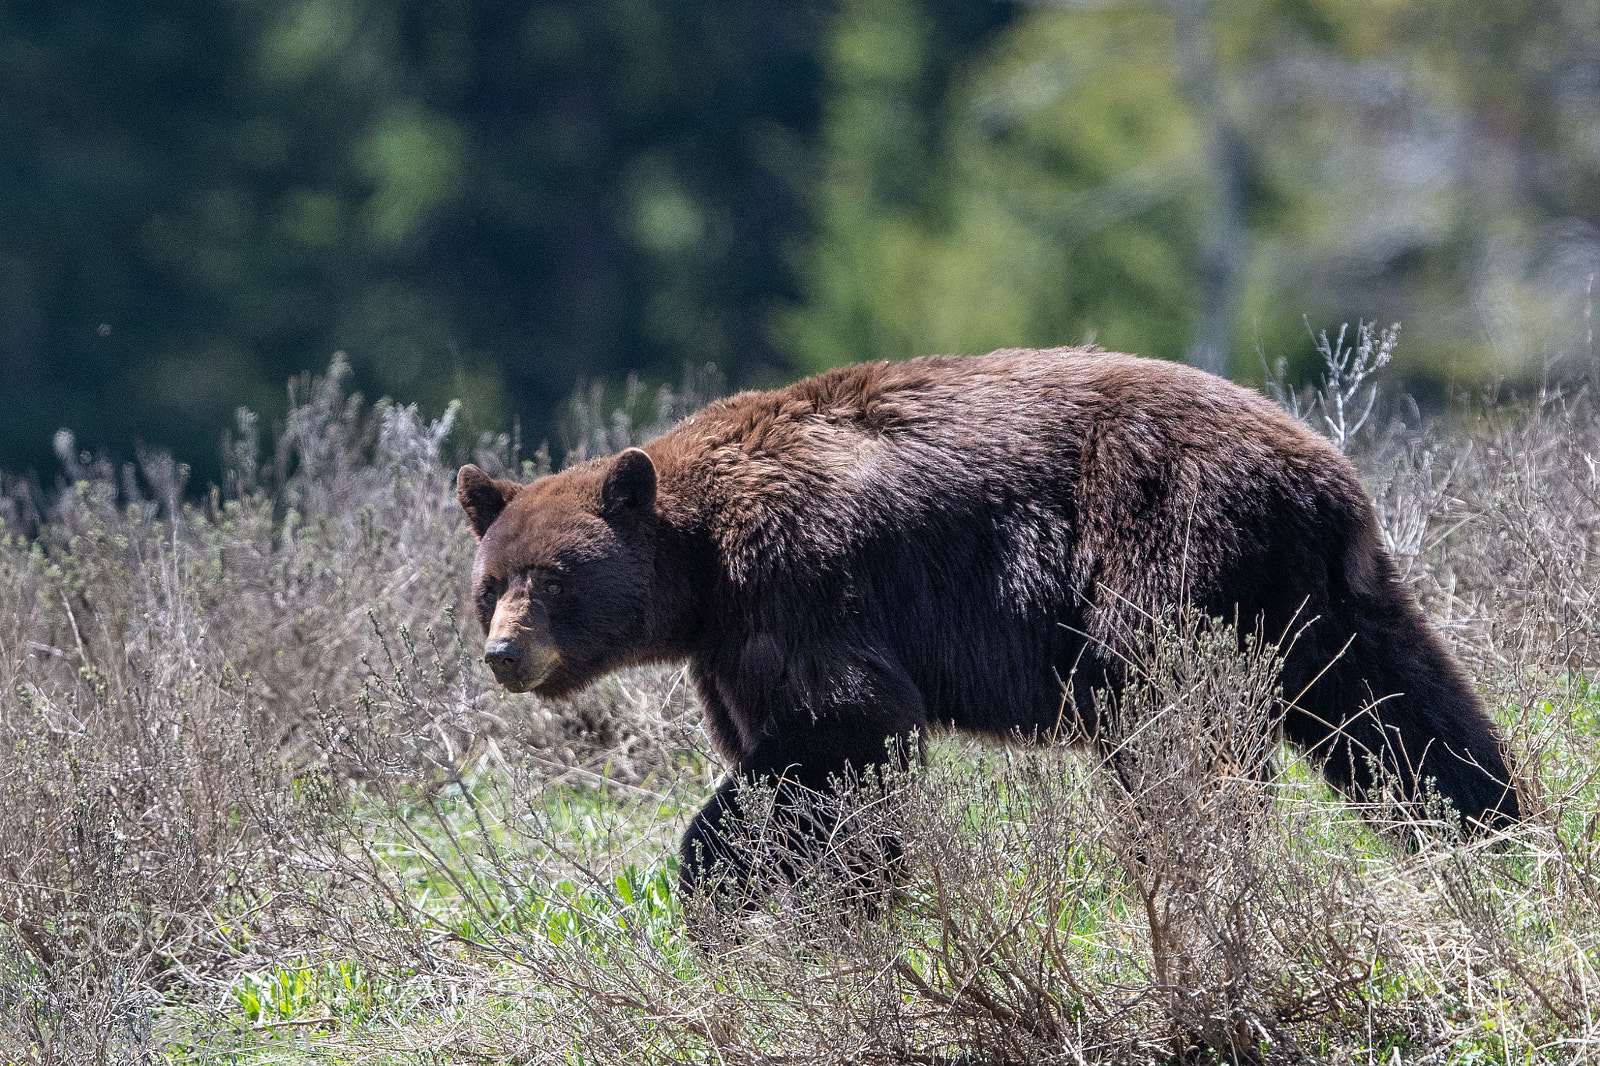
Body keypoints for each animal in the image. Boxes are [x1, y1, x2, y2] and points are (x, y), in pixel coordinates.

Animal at [456, 347, 1521, 906]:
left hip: (1169, 553)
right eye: (488, 583)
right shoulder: (729, 650)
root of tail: (1320, 471)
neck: (702, 565)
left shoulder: (801, 582)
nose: (505, 652)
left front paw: (730, 885)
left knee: (1172, 733)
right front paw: (850, 897)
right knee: (1400, 712)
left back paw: (1181, 859)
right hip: (1322, 597)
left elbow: (841, 730)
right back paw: (1494, 834)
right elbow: (803, 752)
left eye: (555, 579)